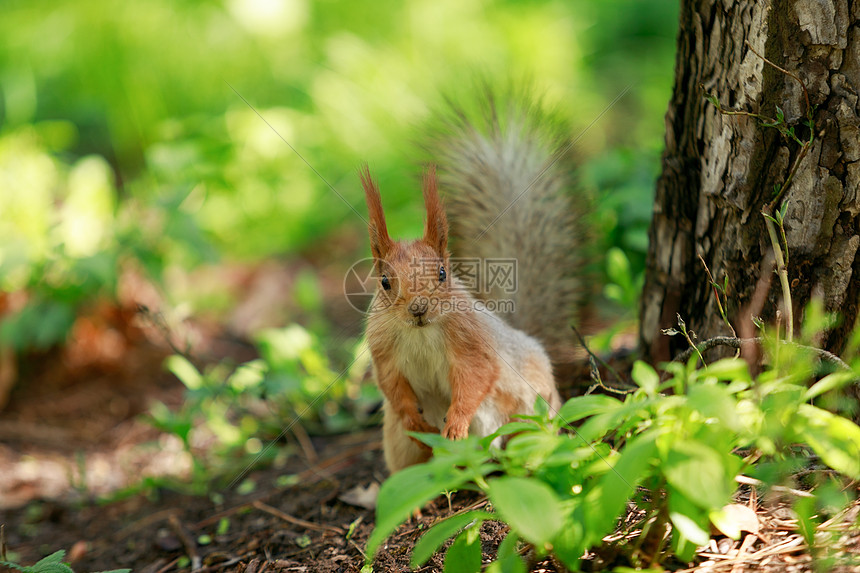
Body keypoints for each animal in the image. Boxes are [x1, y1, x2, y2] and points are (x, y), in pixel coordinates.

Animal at [360, 91, 580, 472]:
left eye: (443, 274)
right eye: (385, 282)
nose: (418, 309)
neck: (420, 332)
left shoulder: (470, 340)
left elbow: (475, 376)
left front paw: (456, 422)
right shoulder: (383, 347)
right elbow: (391, 385)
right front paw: (413, 418)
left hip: (527, 412)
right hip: (400, 445)